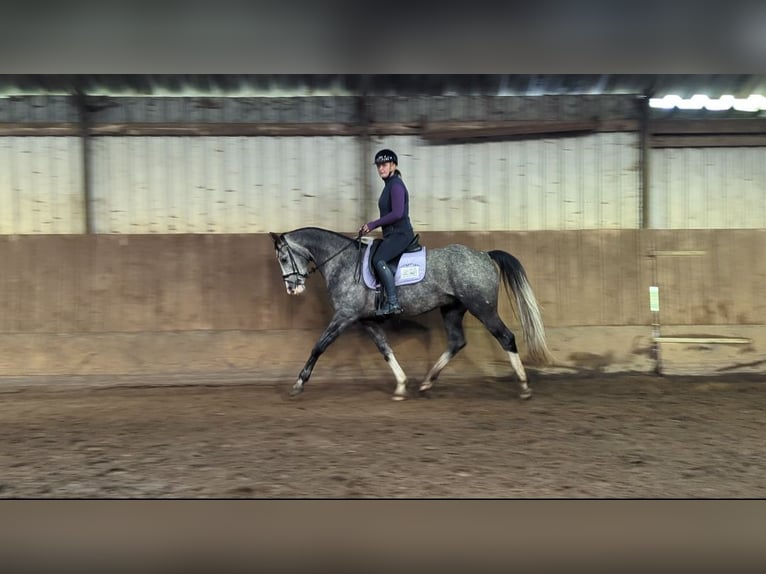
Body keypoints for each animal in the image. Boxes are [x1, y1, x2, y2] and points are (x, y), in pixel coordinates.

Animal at [269, 227, 553, 400]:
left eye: (283, 258)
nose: (293, 289)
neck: (343, 262)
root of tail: (484, 254)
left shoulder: (344, 316)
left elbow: (319, 346)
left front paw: (298, 384)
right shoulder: (367, 320)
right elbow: (385, 349)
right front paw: (401, 384)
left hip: (482, 308)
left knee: (506, 338)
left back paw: (524, 386)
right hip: (452, 309)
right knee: (456, 341)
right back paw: (426, 382)